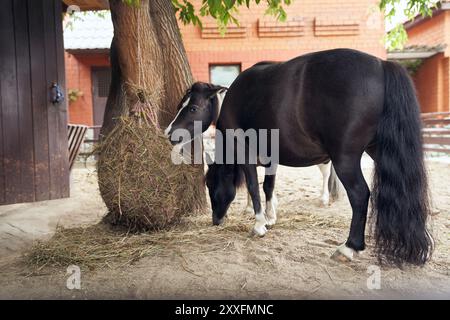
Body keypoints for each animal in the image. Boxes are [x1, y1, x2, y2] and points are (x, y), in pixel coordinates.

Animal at [166, 48, 432, 266]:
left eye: (192, 108)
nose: (169, 132)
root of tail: (381, 65)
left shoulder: (247, 155)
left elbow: (253, 186)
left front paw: (259, 224)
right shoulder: (271, 157)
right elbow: (268, 186)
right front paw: (270, 218)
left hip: (344, 159)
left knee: (359, 195)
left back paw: (349, 247)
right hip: (380, 152)